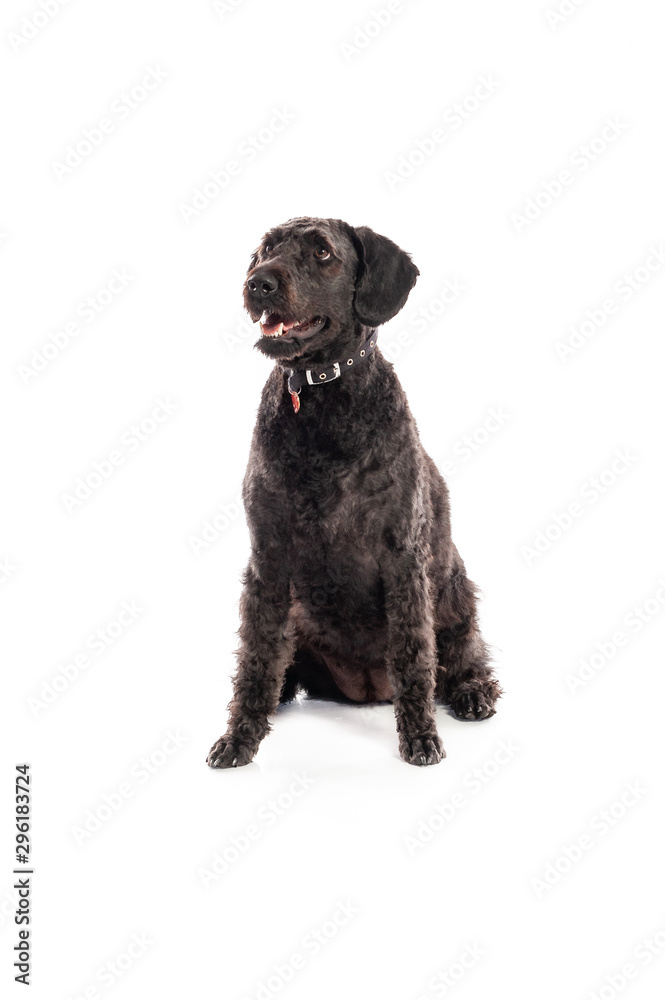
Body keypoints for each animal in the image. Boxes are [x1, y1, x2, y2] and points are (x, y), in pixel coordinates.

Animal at [208, 217, 498, 764]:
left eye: (323, 252)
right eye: (267, 248)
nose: (259, 282)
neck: (319, 395)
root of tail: (367, 690)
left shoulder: (403, 556)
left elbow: (414, 654)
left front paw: (420, 735)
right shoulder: (268, 558)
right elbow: (256, 655)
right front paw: (239, 736)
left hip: (454, 591)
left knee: (460, 652)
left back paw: (472, 691)